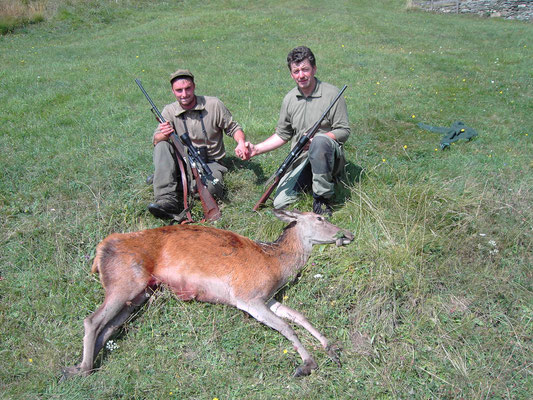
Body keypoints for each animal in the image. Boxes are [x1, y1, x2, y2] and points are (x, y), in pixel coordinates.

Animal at [62, 209, 354, 378]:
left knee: (110, 326)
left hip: (139, 294)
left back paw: (80, 364)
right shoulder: (247, 296)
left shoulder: (268, 298)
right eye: (320, 218)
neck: (276, 265)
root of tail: (99, 251)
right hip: (126, 281)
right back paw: (82, 370)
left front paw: (332, 348)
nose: (348, 234)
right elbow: (286, 327)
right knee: (92, 320)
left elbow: (300, 317)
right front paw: (306, 364)